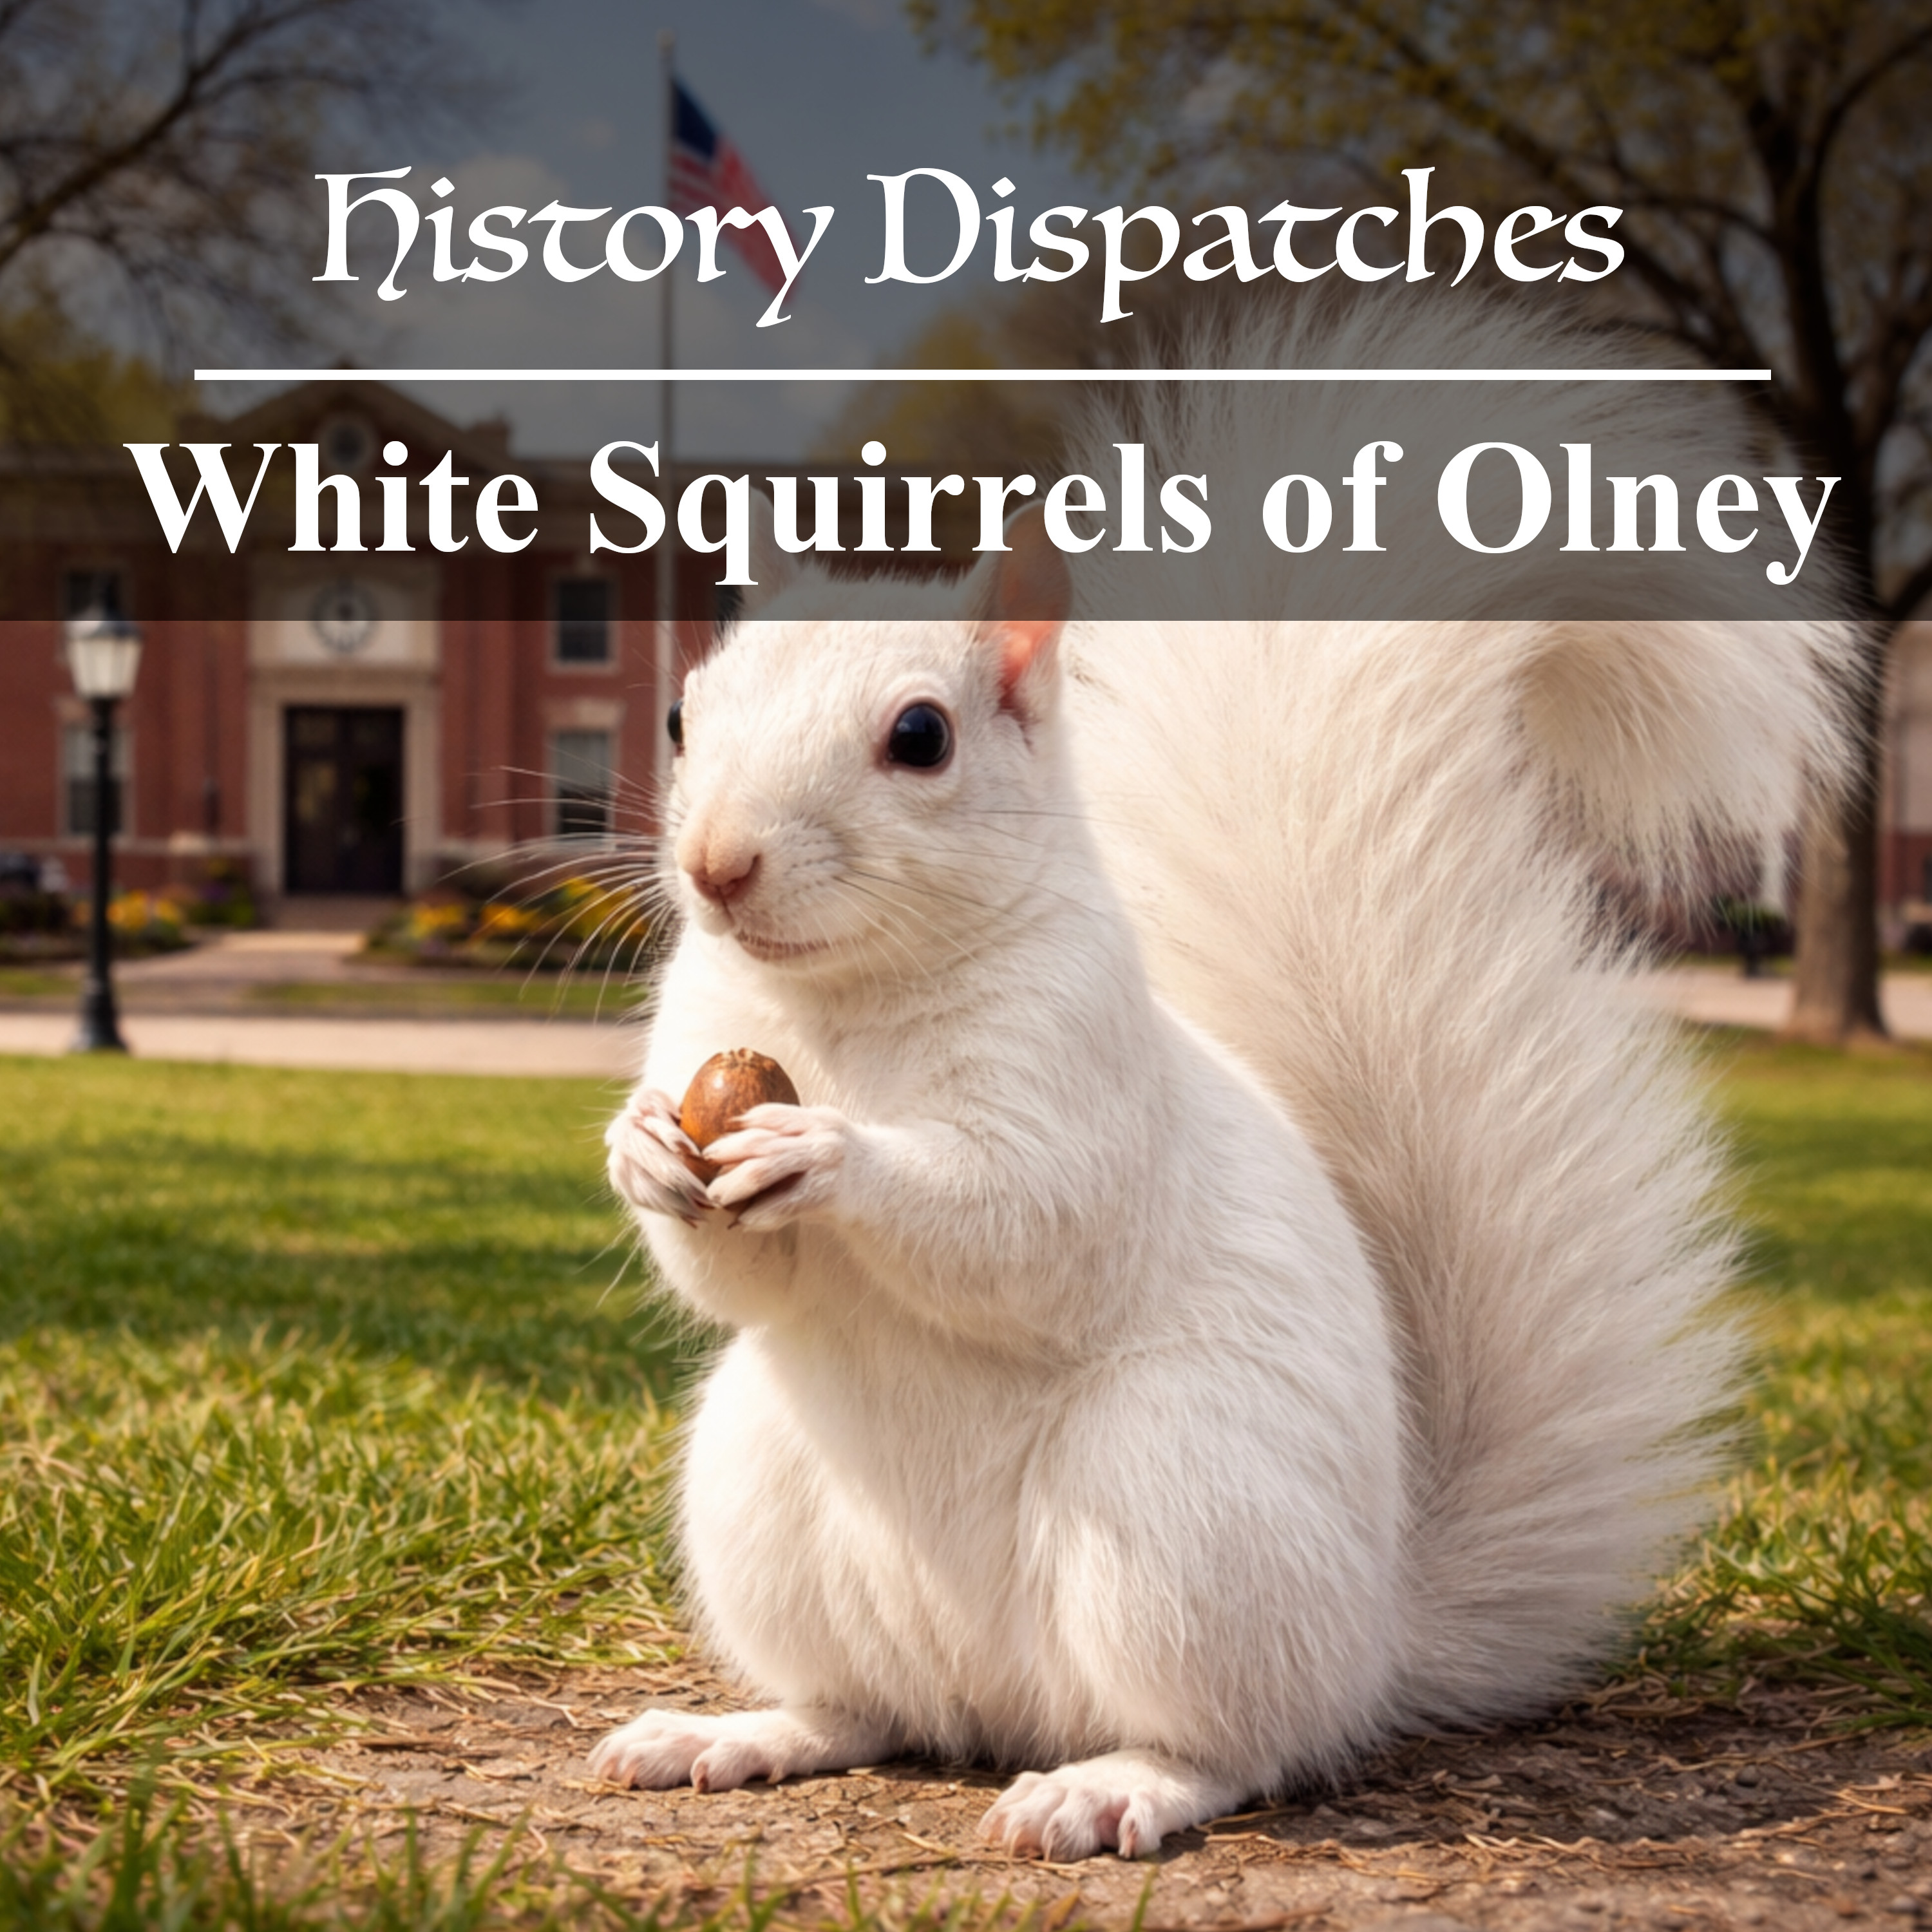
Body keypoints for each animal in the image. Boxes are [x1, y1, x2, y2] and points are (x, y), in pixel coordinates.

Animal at [588, 304, 1851, 1859]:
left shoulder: (1086, 1068)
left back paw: (1111, 1786)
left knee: (1239, 1745)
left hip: (1177, 1509)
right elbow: (730, 1279)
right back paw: (742, 1733)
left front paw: (834, 1157)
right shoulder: (706, 1030)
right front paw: (647, 1152)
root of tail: (1374, 1638)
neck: (841, 1012)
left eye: (921, 737)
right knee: (870, 1711)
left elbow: (1035, 1227)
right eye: (680, 720)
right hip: (760, 1493)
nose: (717, 867)